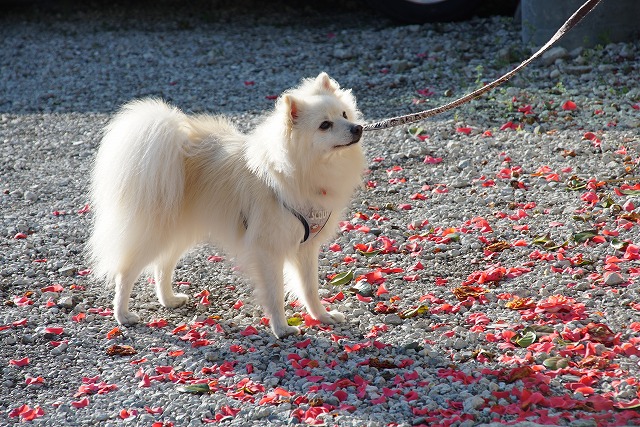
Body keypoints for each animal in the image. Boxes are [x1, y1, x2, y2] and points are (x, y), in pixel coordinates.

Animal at [88, 74, 364, 342]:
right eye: (325, 125)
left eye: (344, 114)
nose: (358, 127)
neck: (300, 170)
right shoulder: (268, 249)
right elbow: (275, 293)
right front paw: (282, 329)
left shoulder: (305, 247)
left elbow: (309, 288)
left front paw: (322, 316)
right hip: (156, 233)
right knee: (126, 272)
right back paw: (122, 315)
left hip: (180, 232)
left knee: (162, 266)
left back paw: (169, 299)